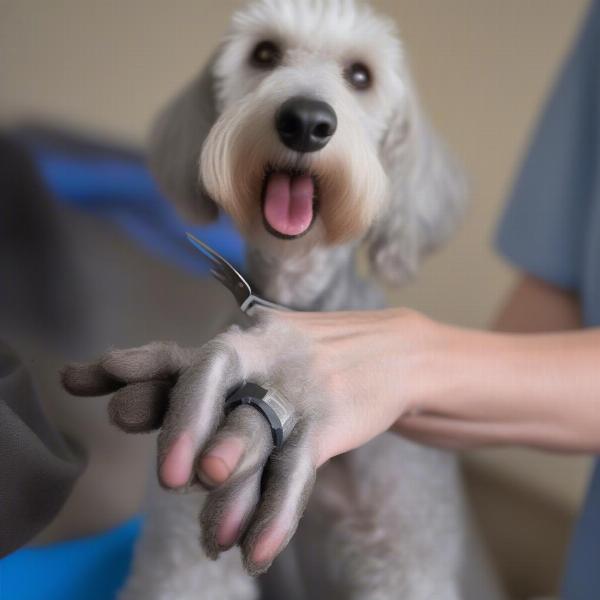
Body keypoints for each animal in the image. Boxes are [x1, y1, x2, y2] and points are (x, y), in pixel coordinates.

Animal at [65, 0, 506, 596]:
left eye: (360, 75)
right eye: (265, 53)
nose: (306, 122)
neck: (298, 297)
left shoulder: (404, 560)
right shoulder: (182, 550)